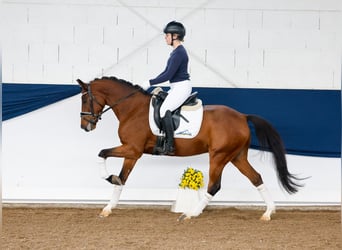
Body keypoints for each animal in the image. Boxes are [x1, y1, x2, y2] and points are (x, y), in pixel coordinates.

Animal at [77, 76, 302, 221]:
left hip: (219, 156)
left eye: (85, 98)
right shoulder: (132, 154)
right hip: (237, 156)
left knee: (214, 186)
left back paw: (191, 213)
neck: (132, 109)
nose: (85, 126)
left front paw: (108, 177)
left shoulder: (132, 150)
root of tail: (242, 116)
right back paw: (268, 213)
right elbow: (121, 179)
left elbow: (102, 153)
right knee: (256, 178)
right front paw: (108, 208)